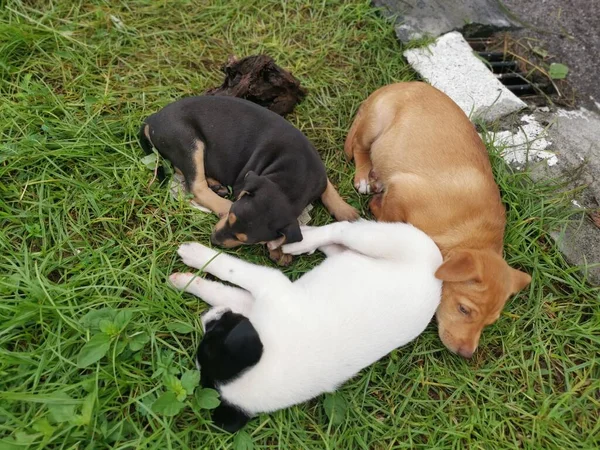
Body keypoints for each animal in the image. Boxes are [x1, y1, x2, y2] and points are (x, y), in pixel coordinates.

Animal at [139, 95, 356, 264]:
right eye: (231, 217)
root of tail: (151, 119)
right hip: (189, 142)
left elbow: (328, 187)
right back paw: (222, 201)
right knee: (195, 184)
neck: (294, 178)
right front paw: (278, 250)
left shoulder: (318, 173)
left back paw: (217, 186)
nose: (213, 240)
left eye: (245, 240)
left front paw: (346, 212)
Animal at [169, 221, 440, 432]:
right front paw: (186, 282)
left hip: (386, 241)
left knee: (342, 228)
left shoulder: (270, 285)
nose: (205, 318)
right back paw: (305, 241)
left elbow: (230, 270)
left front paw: (196, 256)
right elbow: (220, 291)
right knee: (340, 245)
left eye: (212, 339)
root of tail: (437, 276)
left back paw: (302, 241)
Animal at [344, 81, 532, 358]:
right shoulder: (402, 191)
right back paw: (365, 175)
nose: (467, 355)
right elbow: (390, 222)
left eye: (489, 323)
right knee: (359, 146)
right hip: (375, 123)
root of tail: (395, 86)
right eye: (464, 309)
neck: (468, 235)